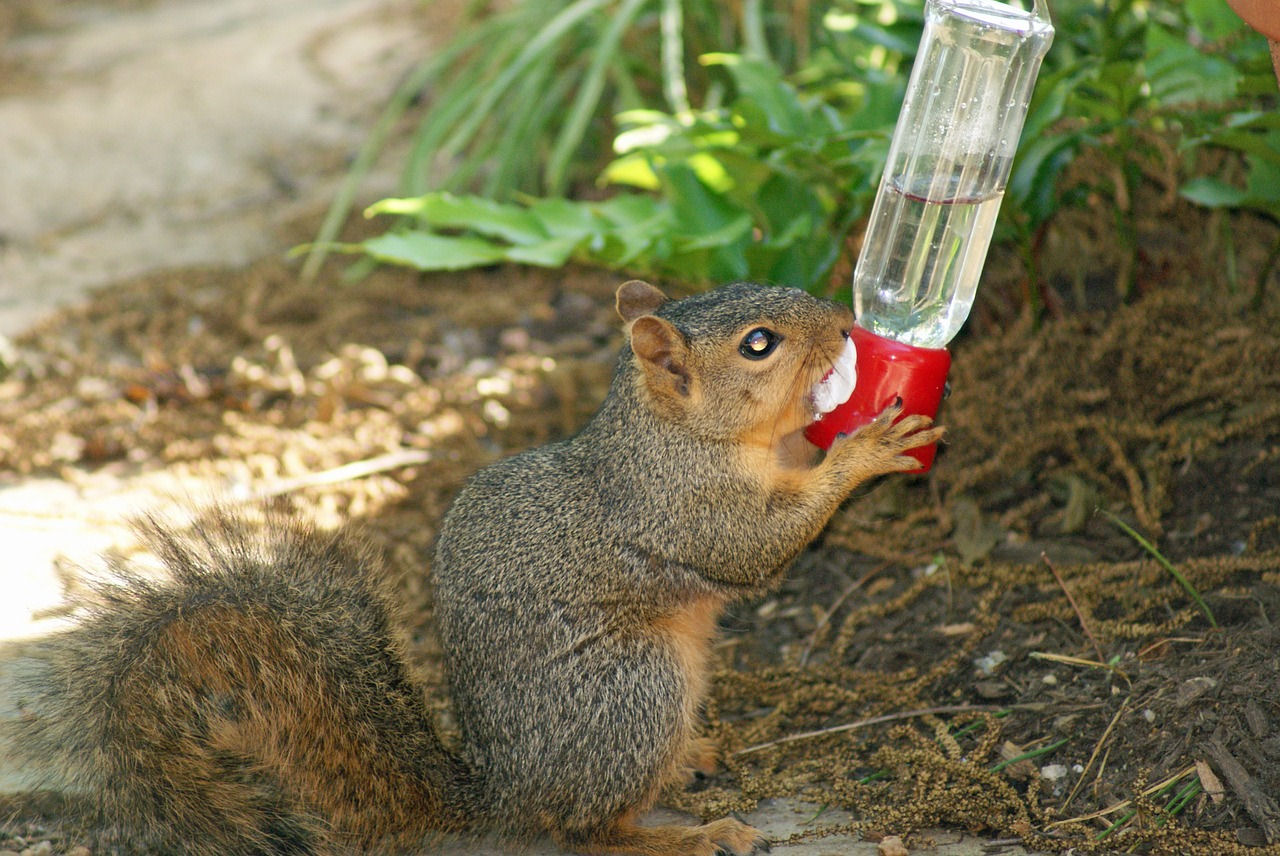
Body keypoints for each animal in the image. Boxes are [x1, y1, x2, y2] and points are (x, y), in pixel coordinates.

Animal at [0, 277, 942, 849]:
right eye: (758, 344)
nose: (842, 323)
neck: (672, 433)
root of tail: (505, 794)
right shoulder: (680, 509)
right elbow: (758, 549)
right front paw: (862, 450)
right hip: (634, 689)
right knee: (589, 833)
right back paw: (691, 836)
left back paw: (691, 759)